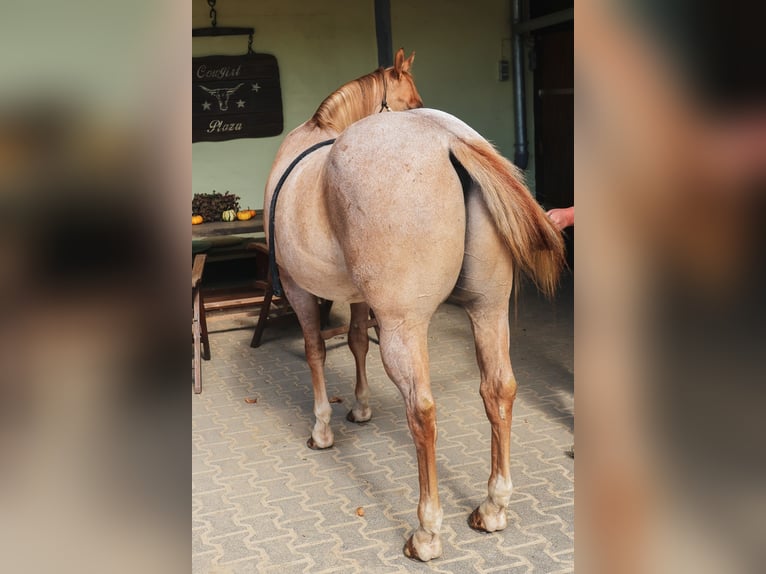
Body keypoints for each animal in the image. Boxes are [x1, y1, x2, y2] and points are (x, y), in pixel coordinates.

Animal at [262, 48, 565, 561]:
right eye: (411, 97)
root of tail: (448, 138)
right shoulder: (359, 299)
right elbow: (356, 341)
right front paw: (360, 407)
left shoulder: (298, 288)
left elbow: (315, 351)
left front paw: (323, 428)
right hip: (488, 310)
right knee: (499, 389)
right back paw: (493, 505)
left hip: (405, 328)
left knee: (421, 410)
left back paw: (427, 531)